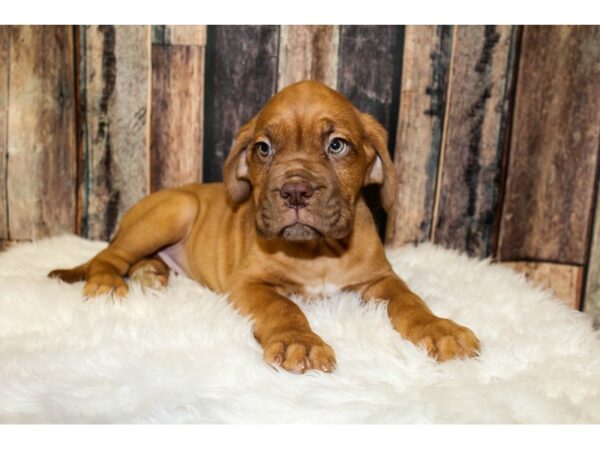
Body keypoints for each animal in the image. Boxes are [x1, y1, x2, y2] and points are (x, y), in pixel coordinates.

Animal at [51, 80, 482, 372]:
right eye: (263, 148)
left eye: (337, 145)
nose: (295, 191)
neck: (318, 252)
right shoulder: (249, 284)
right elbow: (283, 307)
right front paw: (299, 342)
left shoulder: (379, 280)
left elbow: (410, 301)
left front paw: (439, 329)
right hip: (175, 209)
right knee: (109, 255)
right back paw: (110, 282)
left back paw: (152, 274)